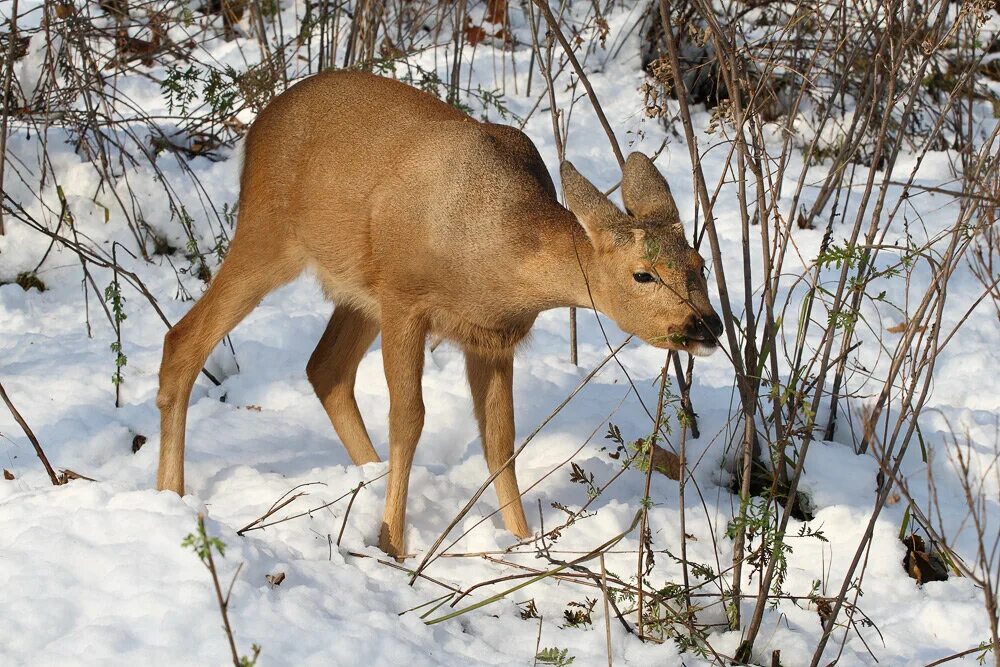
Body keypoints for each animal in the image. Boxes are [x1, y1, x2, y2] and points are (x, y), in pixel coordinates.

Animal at [154, 69, 720, 560]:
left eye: (700, 262)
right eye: (643, 274)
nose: (707, 326)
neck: (494, 250)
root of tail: (258, 126)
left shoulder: (491, 336)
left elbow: (500, 439)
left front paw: (521, 543)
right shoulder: (406, 300)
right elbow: (409, 418)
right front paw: (394, 545)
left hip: (358, 289)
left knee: (325, 367)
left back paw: (366, 477)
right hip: (270, 232)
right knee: (184, 339)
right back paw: (169, 496)